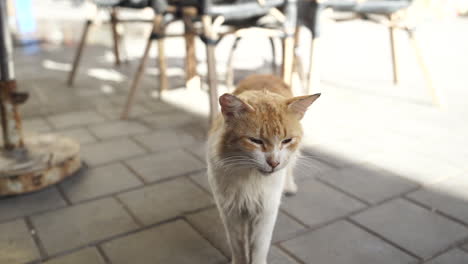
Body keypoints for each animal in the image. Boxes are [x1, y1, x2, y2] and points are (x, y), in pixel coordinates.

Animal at [207, 74, 320, 264]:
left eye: (287, 141)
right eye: (255, 141)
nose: (274, 163)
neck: (250, 178)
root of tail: (266, 74)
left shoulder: (266, 211)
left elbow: (259, 247)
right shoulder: (230, 211)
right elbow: (238, 245)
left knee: (290, 168)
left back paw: (289, 187)